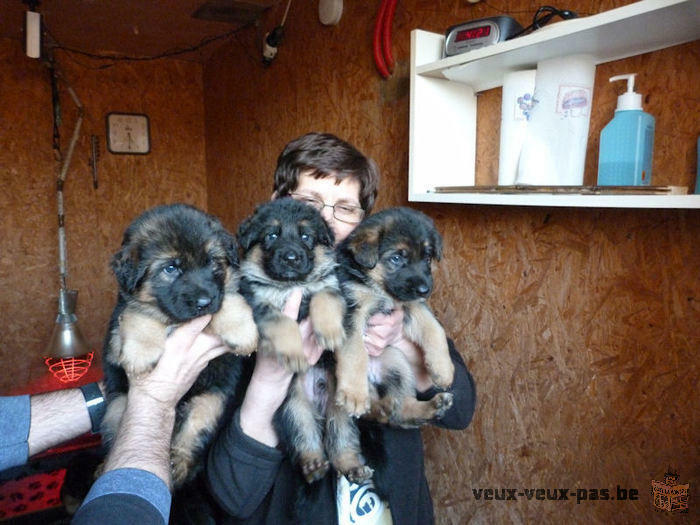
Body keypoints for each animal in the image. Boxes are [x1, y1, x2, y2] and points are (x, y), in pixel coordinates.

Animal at [102, 202, 258, 488]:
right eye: (171, 268)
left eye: (212, 262)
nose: (204, 302)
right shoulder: (115, 335)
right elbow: (139, 313)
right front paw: (141, 352)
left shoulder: (223, 294)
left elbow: (229, 297)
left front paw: (241, 329)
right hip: (118, 407)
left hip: (211, 400)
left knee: (192, 433)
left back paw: (178, 464)